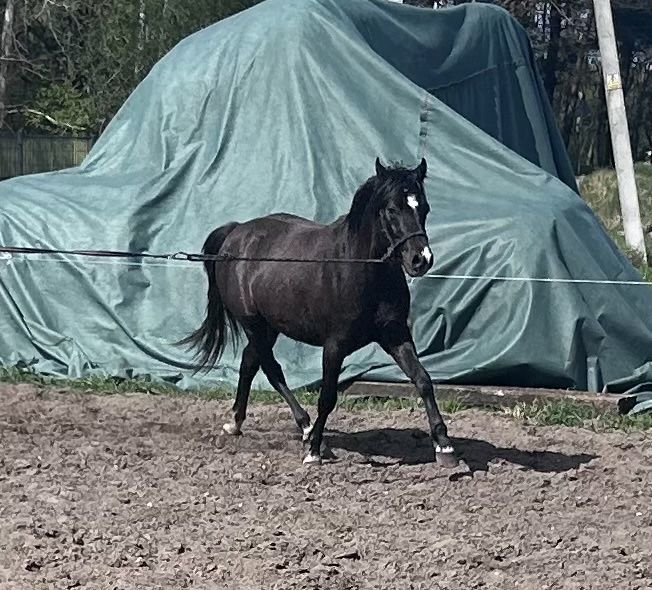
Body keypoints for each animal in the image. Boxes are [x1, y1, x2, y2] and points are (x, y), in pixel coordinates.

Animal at [178, 158, 458, 468]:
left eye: (424, 207)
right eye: (392, 209)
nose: (421, 260)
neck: (358, 269)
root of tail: (236, 233)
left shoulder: (395, 335)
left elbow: (423, 380)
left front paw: (444, 446)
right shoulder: (334, 345)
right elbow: (327, 397)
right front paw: (313, 450)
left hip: (269, 327)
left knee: (250, 362)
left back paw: (237, 423)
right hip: (253, 324)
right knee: (271, 369)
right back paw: (306, 428)